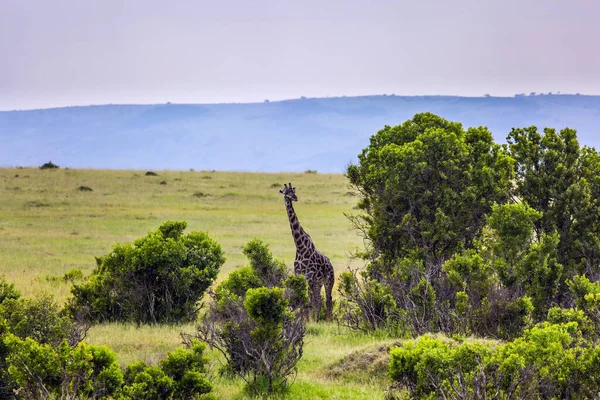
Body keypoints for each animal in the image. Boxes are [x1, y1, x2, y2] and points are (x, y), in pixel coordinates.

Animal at [280, 183, 336, 320]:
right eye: (285, 193)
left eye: (293, 192)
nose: (294, 198)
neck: (300, 247)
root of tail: (331, 265)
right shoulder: (300, 277)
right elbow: (305, 302)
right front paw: (306, 321)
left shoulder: (310, 277)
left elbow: (309, 303)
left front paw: (309, 321)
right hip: (318, 283)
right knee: (319, 301)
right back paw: (319, 319)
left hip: (328, 281)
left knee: (328, 300)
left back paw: (328, 321)